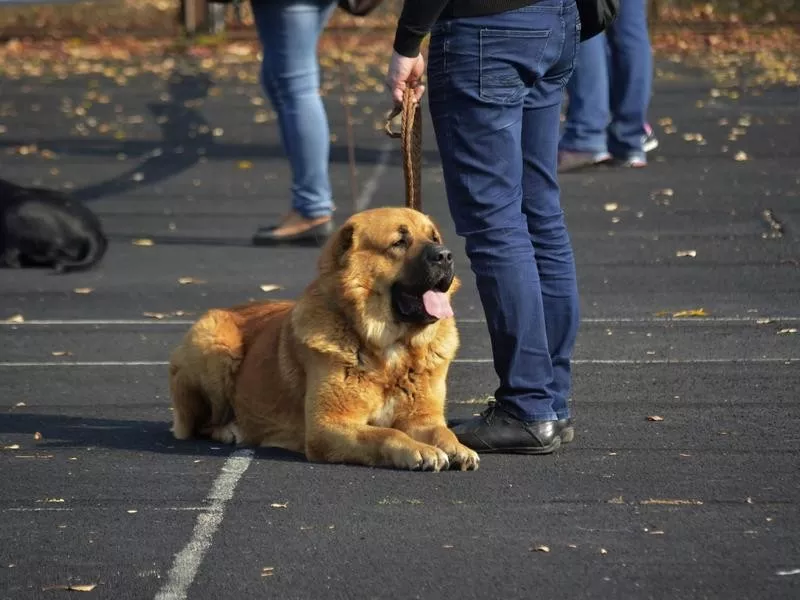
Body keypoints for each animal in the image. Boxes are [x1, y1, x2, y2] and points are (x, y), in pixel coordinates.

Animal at [169, 209, 478, 472]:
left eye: (434, 238)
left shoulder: (421, 418)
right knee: (202, 424)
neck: (387, 347)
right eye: (399, 242)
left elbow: (440, 430)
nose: (445, 256)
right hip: (213, 343)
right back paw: (231, 429)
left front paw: (457, 448)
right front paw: (420, 450)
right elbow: (386, 434)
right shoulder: (329, 425)